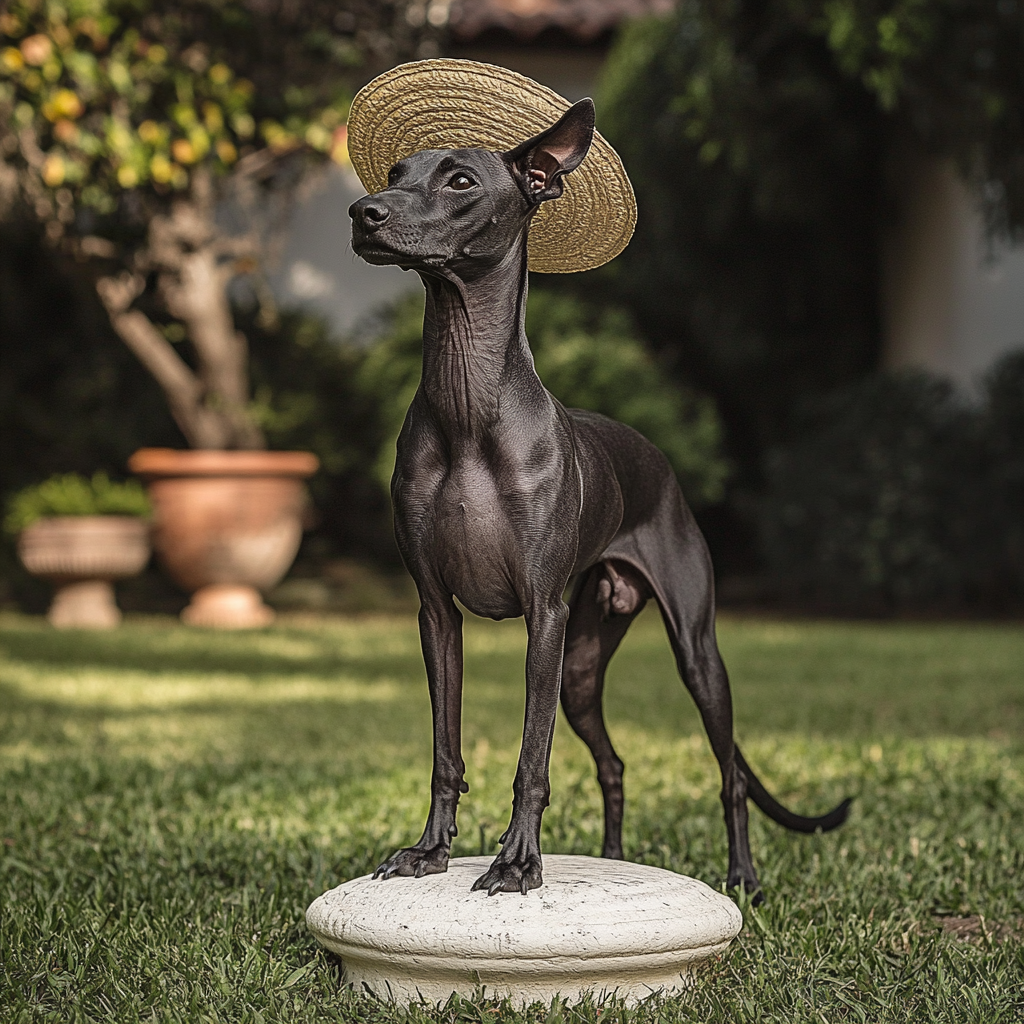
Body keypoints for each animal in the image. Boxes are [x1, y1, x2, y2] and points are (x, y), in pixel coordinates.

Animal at [352, 96, 847, 897]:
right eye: (395, 173)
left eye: (461, 180)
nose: (363, 213)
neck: (468, 404)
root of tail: (658, 458)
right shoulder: (435, 614)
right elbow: (445, 750)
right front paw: (428, 852)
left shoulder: (543, 616)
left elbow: (531, 758)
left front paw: (517, 862)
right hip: (583, 669)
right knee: (614, 762)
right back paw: (614, 857)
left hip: (692, 652)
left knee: (731, 773)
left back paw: (742, 872)